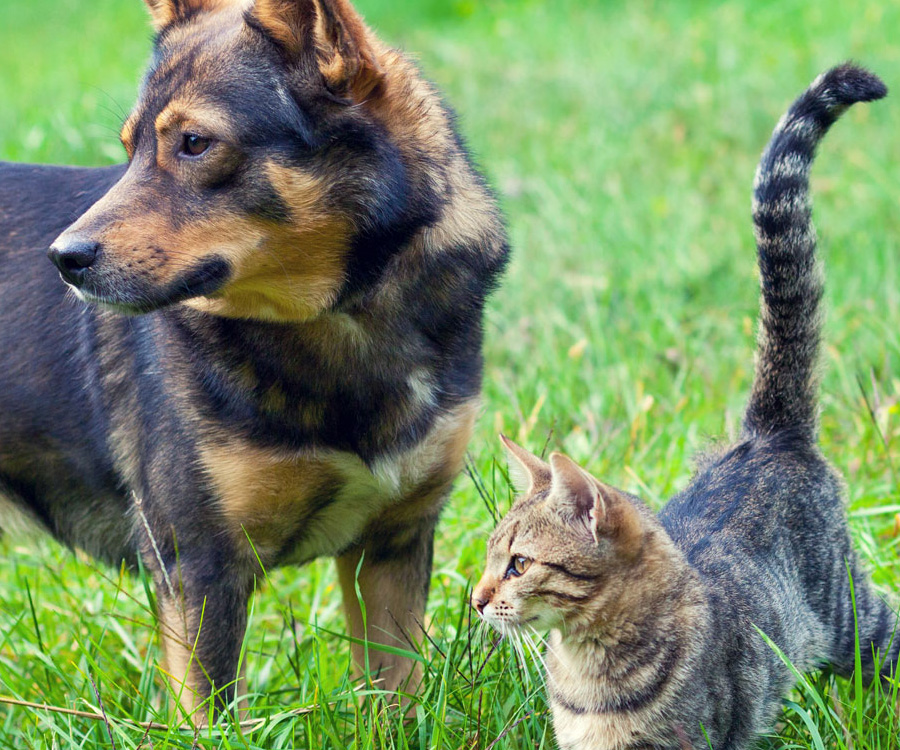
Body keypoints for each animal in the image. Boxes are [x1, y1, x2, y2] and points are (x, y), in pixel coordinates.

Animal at [0, 0, 506, 724]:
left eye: (194, 143)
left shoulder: (392, 545)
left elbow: (396, 696)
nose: (63, 258)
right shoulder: (199, 563)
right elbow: (208, 714)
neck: (335, 320)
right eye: (129, 151)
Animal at [472, 66, 892, 750]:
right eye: (489, 558)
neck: (586, 674)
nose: (476, 600)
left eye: (519, 564)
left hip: (852, 617)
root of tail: (769, 434)